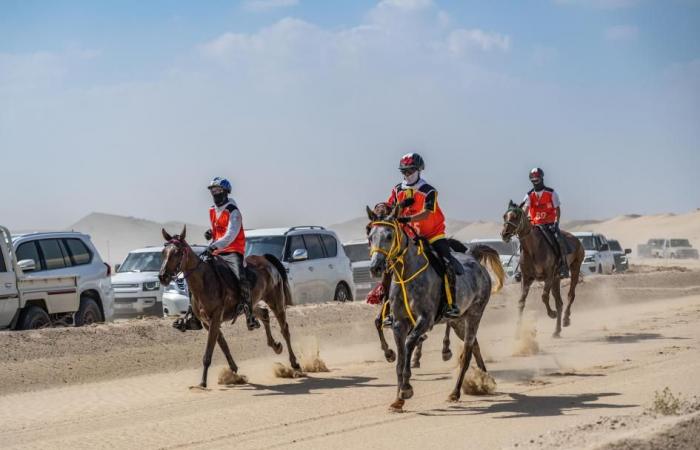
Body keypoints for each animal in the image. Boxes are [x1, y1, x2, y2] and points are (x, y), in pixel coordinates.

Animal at [159, 227, 300, 388]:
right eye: (163, 252)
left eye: (177, 252)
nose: (162, 276)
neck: (204, 281)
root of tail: (265, 259)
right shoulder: (208, 323)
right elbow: (223, 345)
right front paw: (234, 371)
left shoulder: (215, 318)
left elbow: (208, 352)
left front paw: (202, 383)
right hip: (251, 304)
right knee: (264, 314)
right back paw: (275, 345)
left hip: (276, 302)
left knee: (285, 329)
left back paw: (295, 363)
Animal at [366, 206, 504, 410]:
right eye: (370, 236)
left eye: (389, 235)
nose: (375, 267)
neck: (406, 275)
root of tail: (474, 260)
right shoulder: (399, 323)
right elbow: (399, 360)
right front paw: (398, 399)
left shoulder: (425, 320)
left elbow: (409, 344)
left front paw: (406, 388)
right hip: (458, 322)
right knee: (475, 346)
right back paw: (485, 379)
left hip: (474, 314)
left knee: (467, 353)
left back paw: (455, 392)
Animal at [500, 201, 588, 338]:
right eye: (505, 216)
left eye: (516, 216)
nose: (505, 234)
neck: (533, 249)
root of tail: (577, 240)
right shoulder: (526, 278)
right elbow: (521, 302)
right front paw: (517, 332)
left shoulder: (548, 276)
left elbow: (544, 296)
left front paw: (552, 314)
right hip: (556, 279)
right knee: (559, 302)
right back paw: (556, 331)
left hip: (574, 269)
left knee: (570, 295)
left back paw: (566, 319)